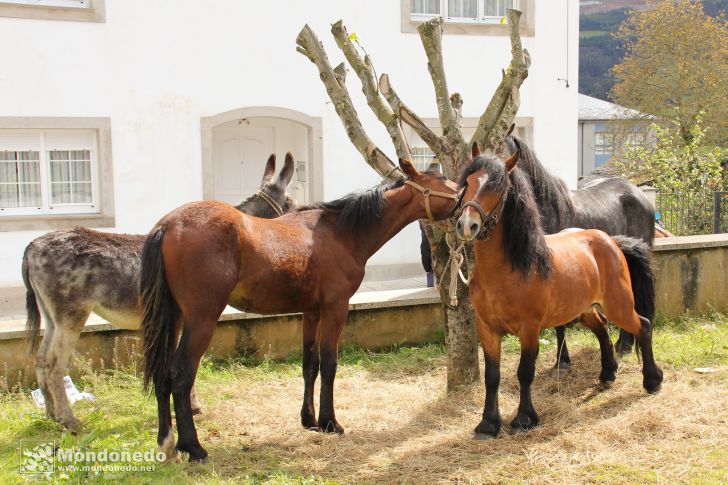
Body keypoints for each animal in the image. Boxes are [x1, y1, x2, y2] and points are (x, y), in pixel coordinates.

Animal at [138, 159, 460, 462]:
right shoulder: (335, 309)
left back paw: (167, 443)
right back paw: (193, 447)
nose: (463, 196)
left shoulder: (311, 313)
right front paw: (330, 422)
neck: (342, 233)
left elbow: (310, 365)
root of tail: (168, 225)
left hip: (175, 318)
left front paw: (310, 420)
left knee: (162, 374)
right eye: (441, 178)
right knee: (181, 374)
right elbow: (329, 364)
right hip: (201, 319)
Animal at [458, 149, 664, 436]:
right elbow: (492, 376)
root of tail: (612, 241)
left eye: (497, 186)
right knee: (602, 327)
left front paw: (524, 419)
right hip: (584, 309)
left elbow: (525, 372)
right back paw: (607, 375)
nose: (467, 225)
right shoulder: (487, 328)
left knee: (642, 326)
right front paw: (488, 424)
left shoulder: (530, 328)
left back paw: (652, 381)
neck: (511, 267)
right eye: (468, 182)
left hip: (619, 305)